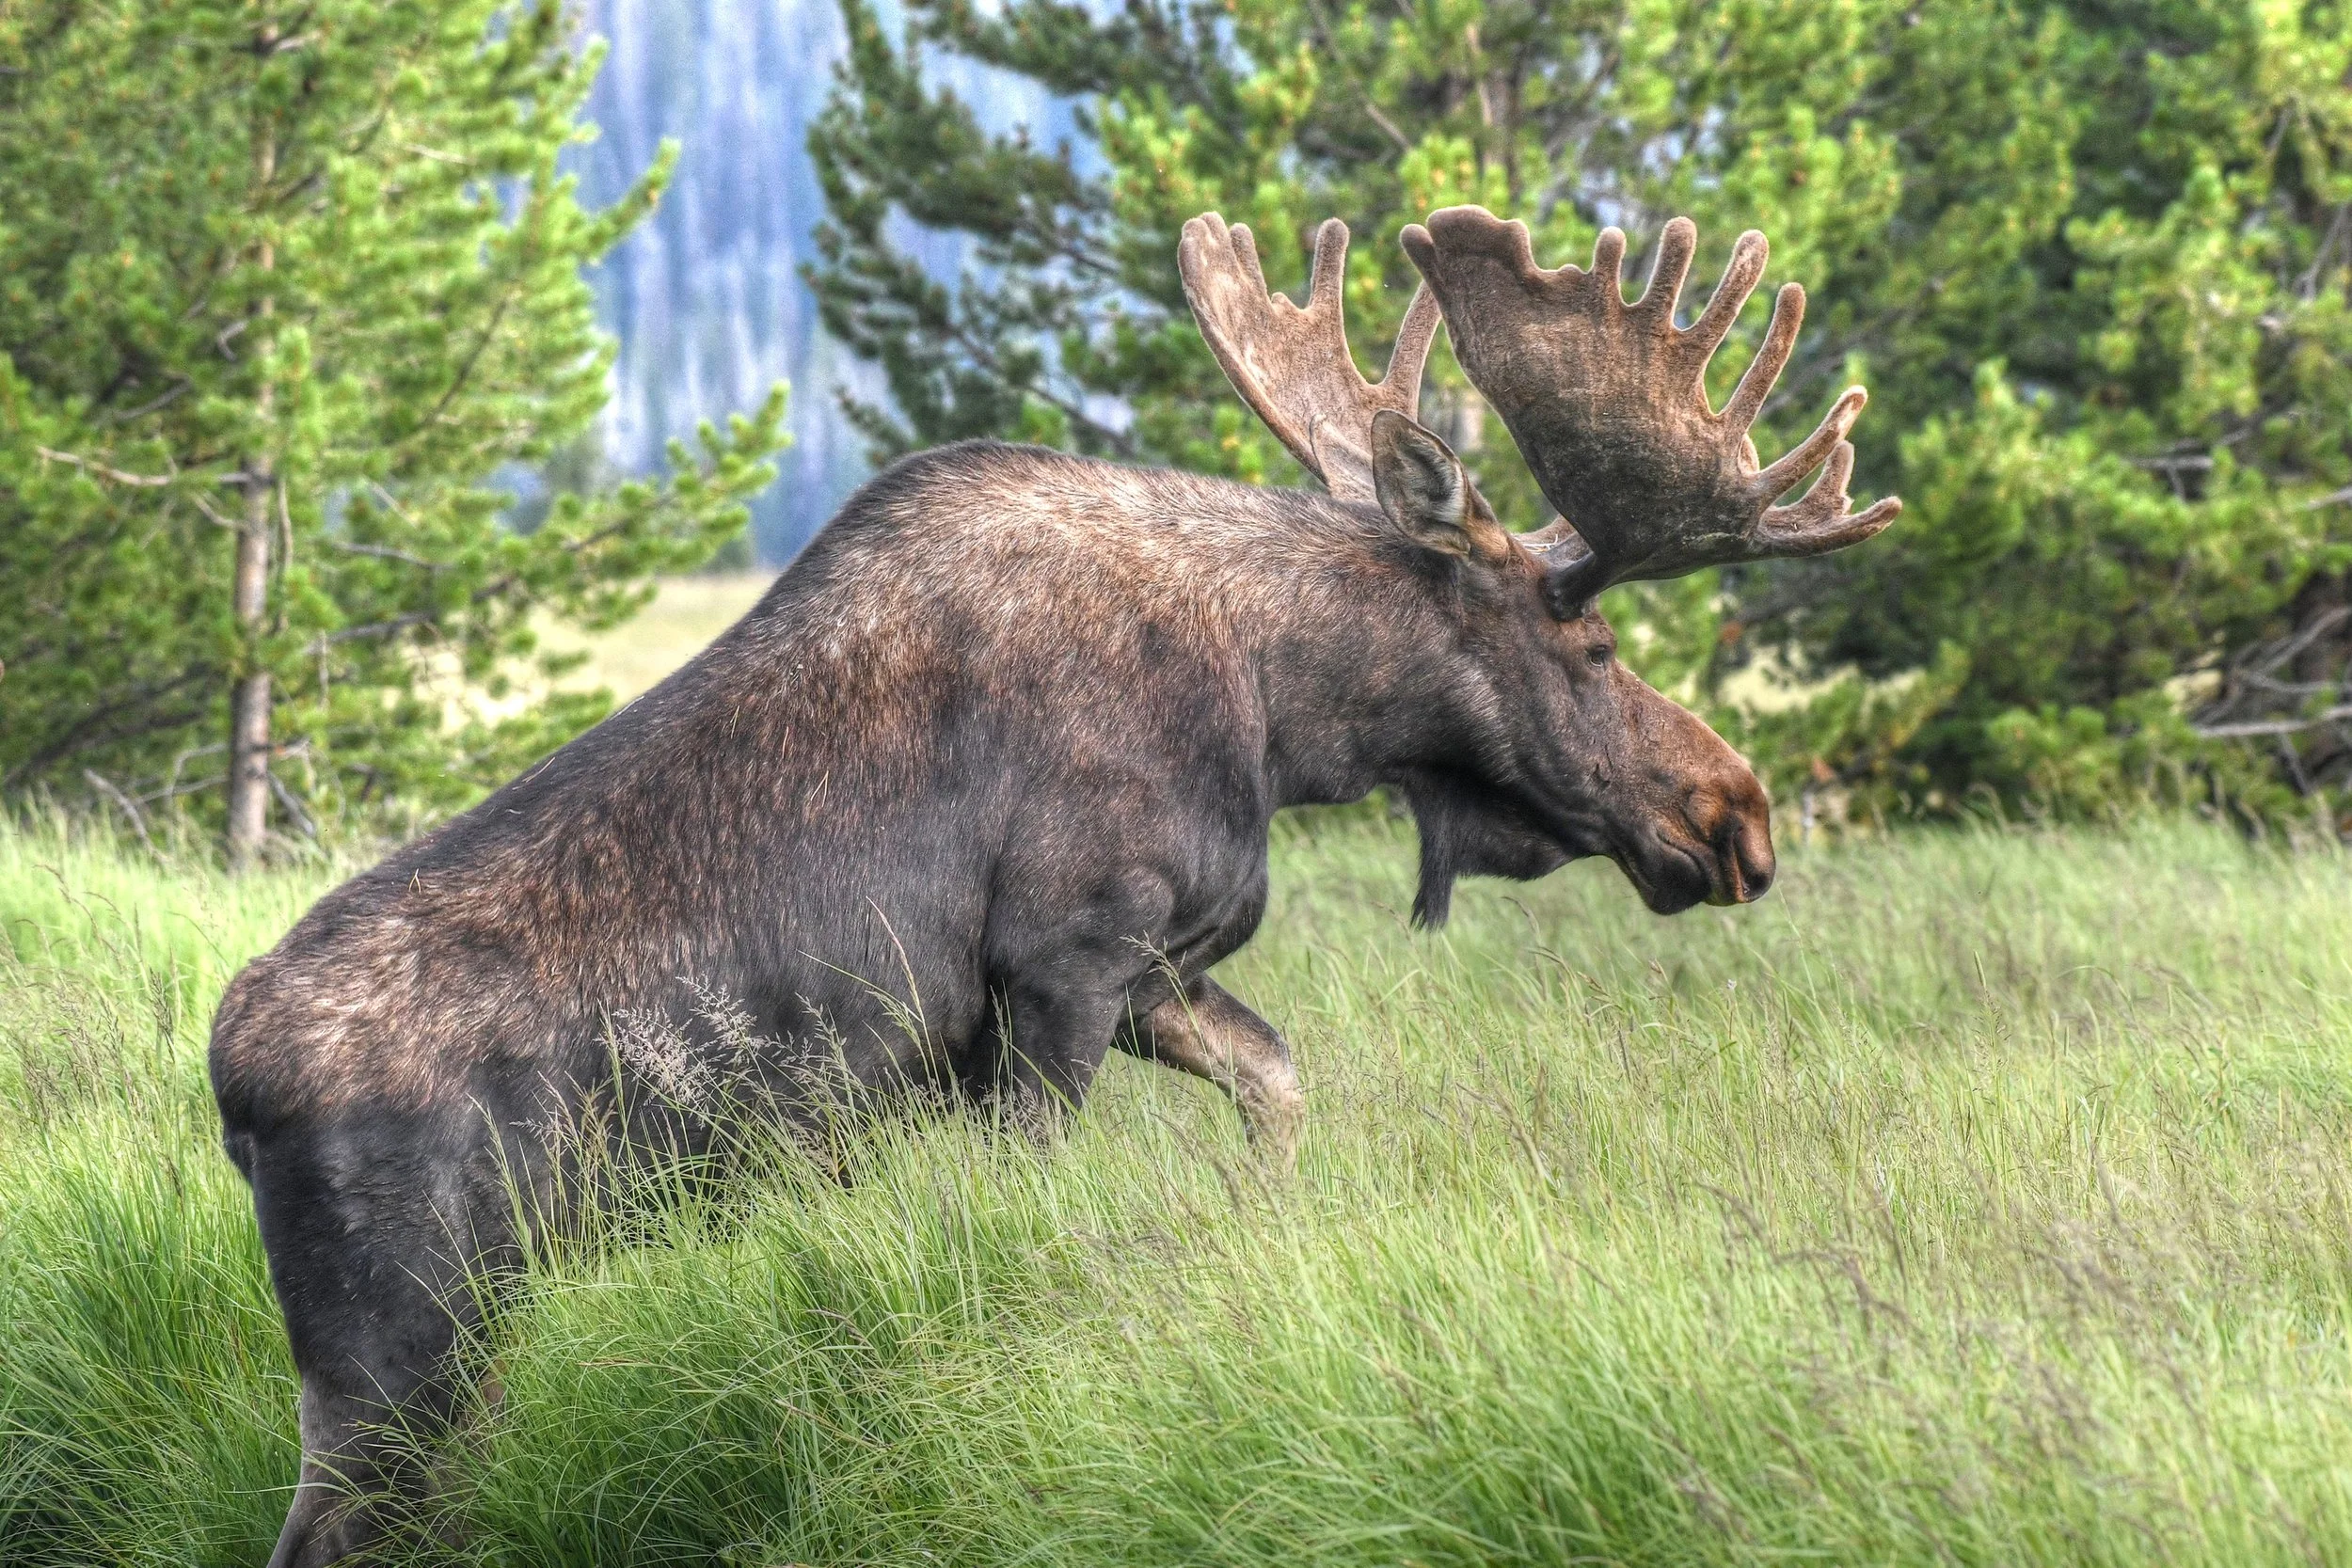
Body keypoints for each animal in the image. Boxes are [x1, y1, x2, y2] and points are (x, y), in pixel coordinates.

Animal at [209, 205, 1899, 1565]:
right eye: (1594, 643)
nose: (1737, 815)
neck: (1286, 713)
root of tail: (232, 1086)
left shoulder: (1154, 966)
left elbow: (1280, 1079)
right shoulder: (1067, 963)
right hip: (403, 1354)